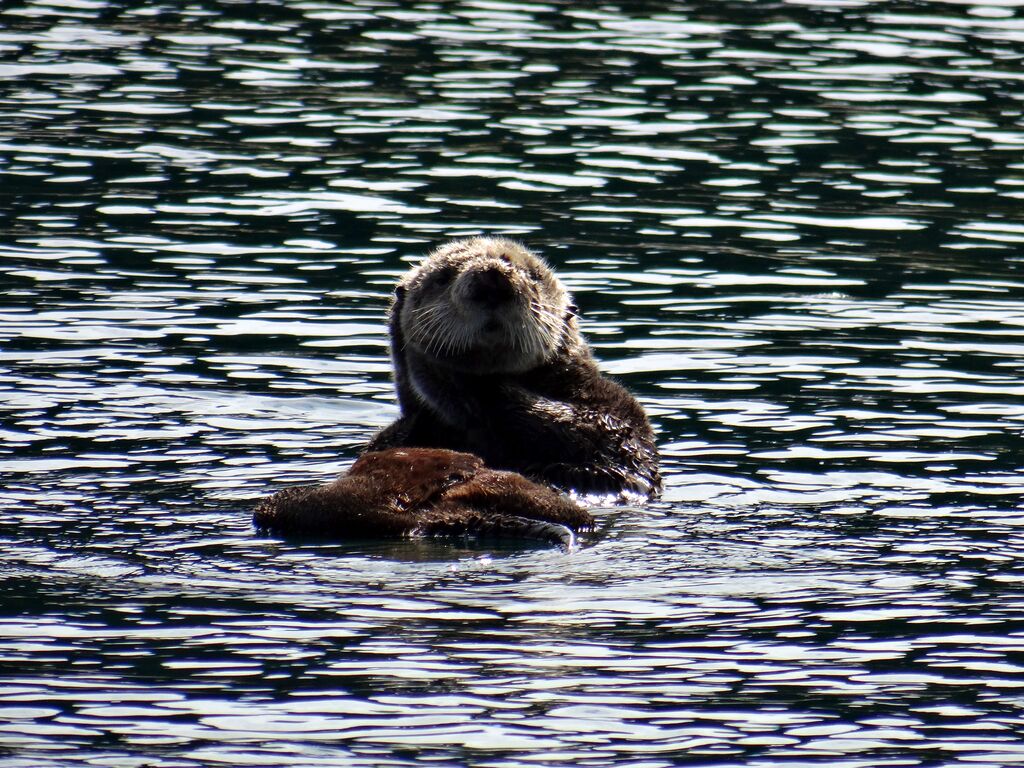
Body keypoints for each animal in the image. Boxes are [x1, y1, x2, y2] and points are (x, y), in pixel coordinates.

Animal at [366, 237, 661, 498]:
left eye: (533, 276)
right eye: (443, 276)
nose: (492, 276)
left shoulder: (619, 412)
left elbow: (601, 437)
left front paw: (432, 365)